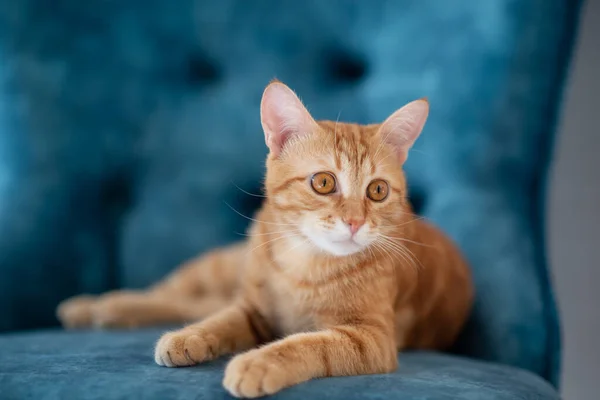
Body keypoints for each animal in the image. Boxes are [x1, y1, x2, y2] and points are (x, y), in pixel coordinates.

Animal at [58, 80, 476, 396]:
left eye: (377, 191)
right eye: (324, 183)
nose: (355, 222)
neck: (303, 267)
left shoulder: (371, 339)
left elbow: (311, 343)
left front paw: (259, 362)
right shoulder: (253, 308)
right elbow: (221, 320)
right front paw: (191, 337)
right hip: (220, 267)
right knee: (173, 294)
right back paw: (93, 306)